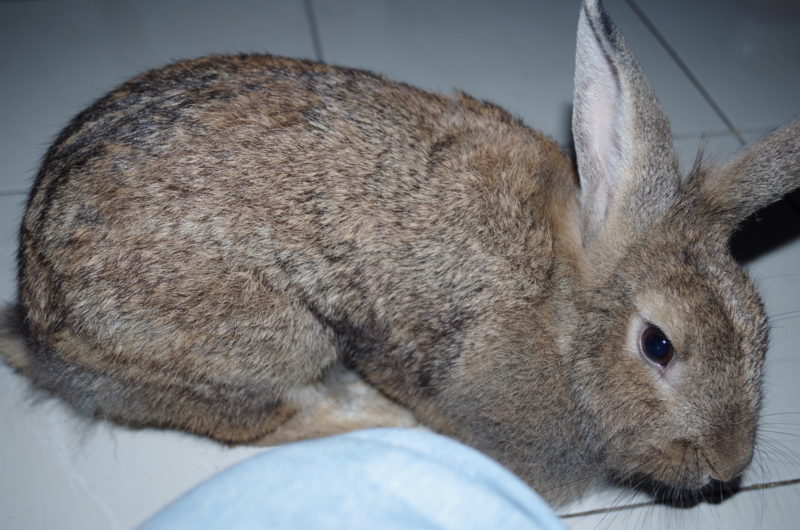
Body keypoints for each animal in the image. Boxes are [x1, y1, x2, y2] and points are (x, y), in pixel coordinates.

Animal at [2, 0, 799, 507]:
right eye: (658, 345)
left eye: (763, 329)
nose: (729, 465)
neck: (565, 314)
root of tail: (37, 330)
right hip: (272, 337)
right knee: (263, 421)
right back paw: (375, 417)